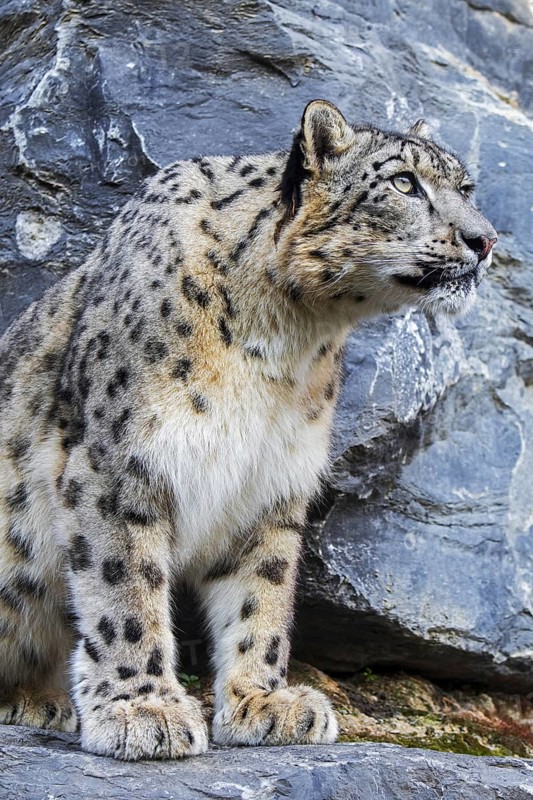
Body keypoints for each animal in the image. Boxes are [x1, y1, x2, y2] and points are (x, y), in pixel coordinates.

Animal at [0, 100, 496, 760]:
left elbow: (263, 596)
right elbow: (125, 589)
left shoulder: (270, 483)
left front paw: (263, 702)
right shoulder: (119, 465)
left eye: (466, 188)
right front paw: (144, 709)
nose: (485, 239)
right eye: (402, 183)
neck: (286, 339)